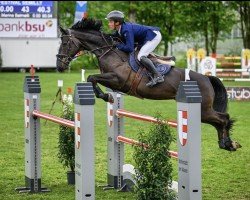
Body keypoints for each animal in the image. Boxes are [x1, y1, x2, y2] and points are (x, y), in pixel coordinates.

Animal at [56, 18, 240, 152]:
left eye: (65, 43)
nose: (59, 66)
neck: (109, 52)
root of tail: (207, 78)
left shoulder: (118, 79)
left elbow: (91, 77)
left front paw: (105, 96)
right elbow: (92, 78)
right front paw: (107, 95)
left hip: (203, 109)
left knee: (223, 118)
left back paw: (229, 143)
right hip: (204, 111)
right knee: (220, 121)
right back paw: (226, 144)